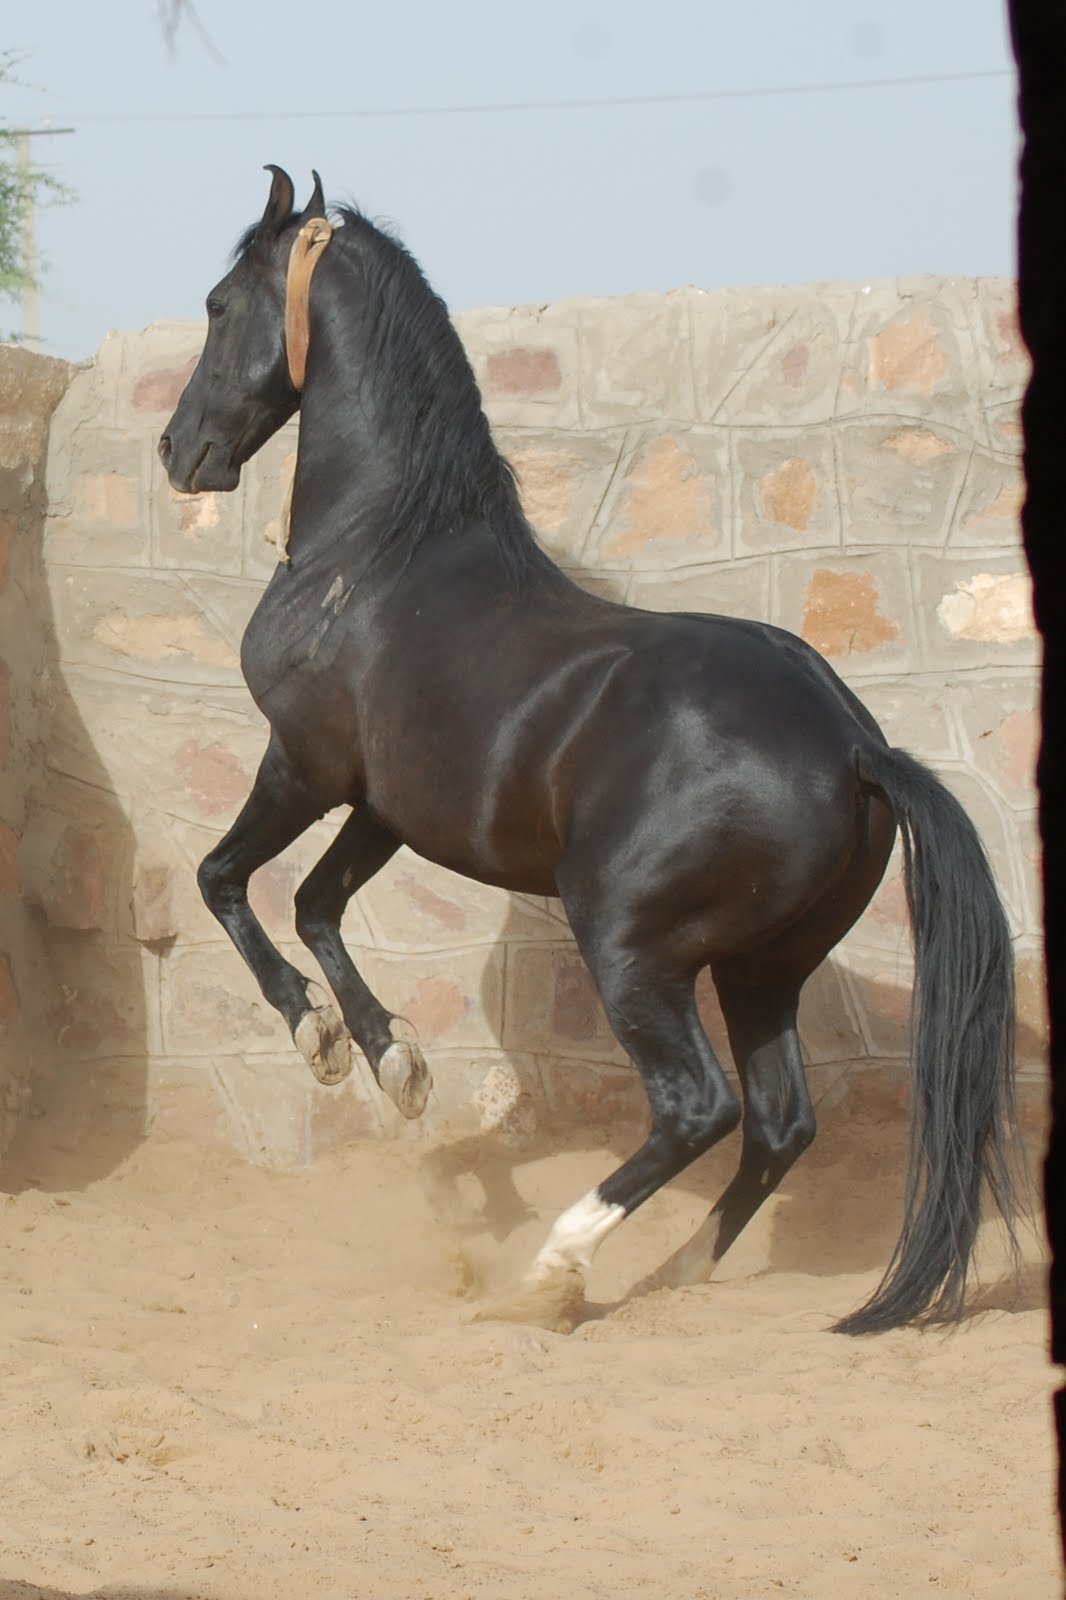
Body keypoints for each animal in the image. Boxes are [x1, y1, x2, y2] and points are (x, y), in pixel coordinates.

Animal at [159, 166, 1021, 1335]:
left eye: (215, 304)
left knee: (697, 1107)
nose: (177, 452)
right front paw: (396, 1063)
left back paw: (553, 1271)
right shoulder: (389, 807)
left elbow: (227, 880)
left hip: (629, 947)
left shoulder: (303, 764)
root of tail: (852, 745)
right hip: (763, 968)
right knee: (780, 1123)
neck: (376, 555)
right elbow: (316, 904)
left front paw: (320, 1041)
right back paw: (679, 1271)